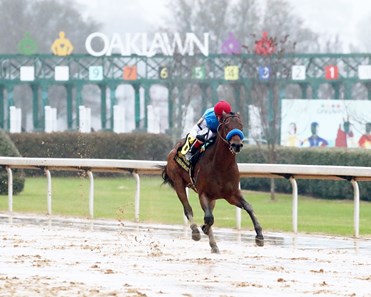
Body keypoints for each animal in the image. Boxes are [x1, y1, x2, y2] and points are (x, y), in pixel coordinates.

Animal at [162, 111, 264, 252]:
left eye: (241, 125)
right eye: (226, 126)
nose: (236, 145)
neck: (221, 165)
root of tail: (173, 149)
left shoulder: (232, 195)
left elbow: (248, 207)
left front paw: (259, 236)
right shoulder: (203, 194)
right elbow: (209, 218)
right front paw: (204, 230)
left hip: (213, 199)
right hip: (178, 183)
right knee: (188, 209)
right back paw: (196, 231)